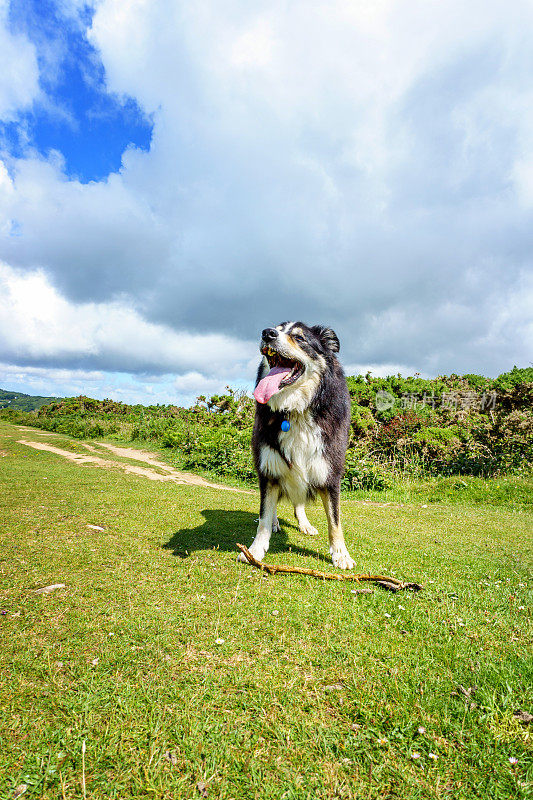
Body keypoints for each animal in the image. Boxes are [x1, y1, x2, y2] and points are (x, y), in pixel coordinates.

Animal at [239, 322, 356, 572]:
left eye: (299, 338)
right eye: (276, 328)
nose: (267, 333)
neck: (297, 410)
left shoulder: (329, 472)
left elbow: (335, 520)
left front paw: (341, 554)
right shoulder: (269, 468)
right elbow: (264, 515)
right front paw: (255, 551)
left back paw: (305, 524)